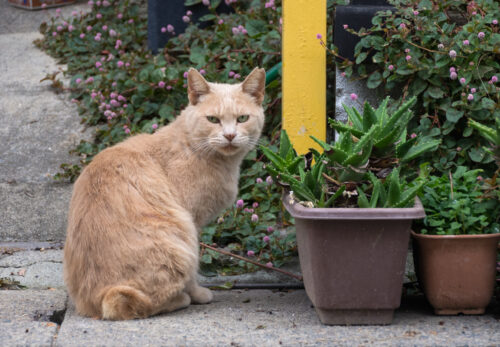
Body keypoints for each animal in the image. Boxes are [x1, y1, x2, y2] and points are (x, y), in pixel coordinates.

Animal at [64, 68, 268, 320]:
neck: (193, 145)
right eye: (213, 119)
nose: (230, 135)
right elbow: (193, 272)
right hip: (180, 241)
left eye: (242, 119)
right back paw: (181, 299)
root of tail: (97, 298)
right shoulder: (193, 222)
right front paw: (197, 293)